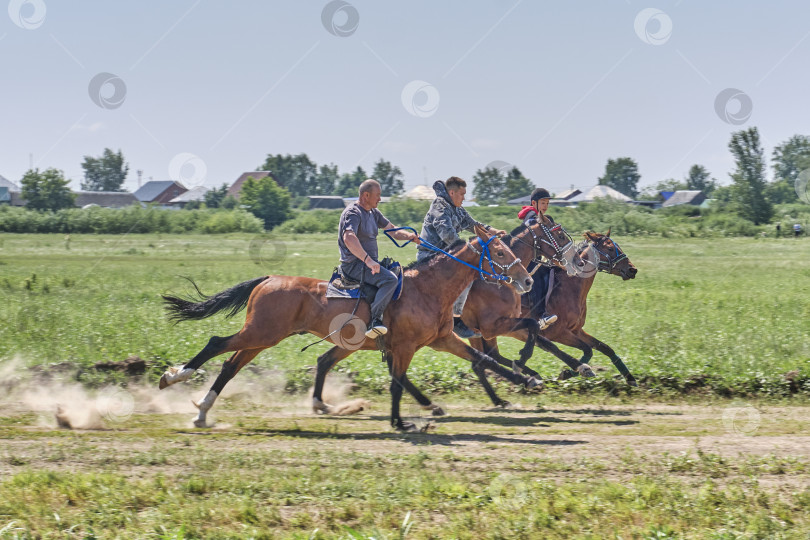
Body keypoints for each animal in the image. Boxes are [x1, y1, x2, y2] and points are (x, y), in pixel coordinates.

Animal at [158, 226, 536, 432]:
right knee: (215, 343)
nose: (528, 280)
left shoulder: (442, 339)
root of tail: (268, 278)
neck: (426, 288)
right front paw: (401, 422)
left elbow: (482, 359)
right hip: (262, 333)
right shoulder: (405, 347)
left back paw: (203, 412)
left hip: (264, 338)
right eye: (500, 251)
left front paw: (524, 381)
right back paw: (176, 378)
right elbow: (397, 383)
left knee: (231, 364)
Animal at [460, 228, 636, 404]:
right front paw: (569, 372)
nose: (632, 269)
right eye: (610, 248)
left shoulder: (577, 330)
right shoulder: (559, 333)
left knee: (490, 355)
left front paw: (630, 378)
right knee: (483, 360)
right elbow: (587, 350)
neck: (570, 284)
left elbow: (605, 348)